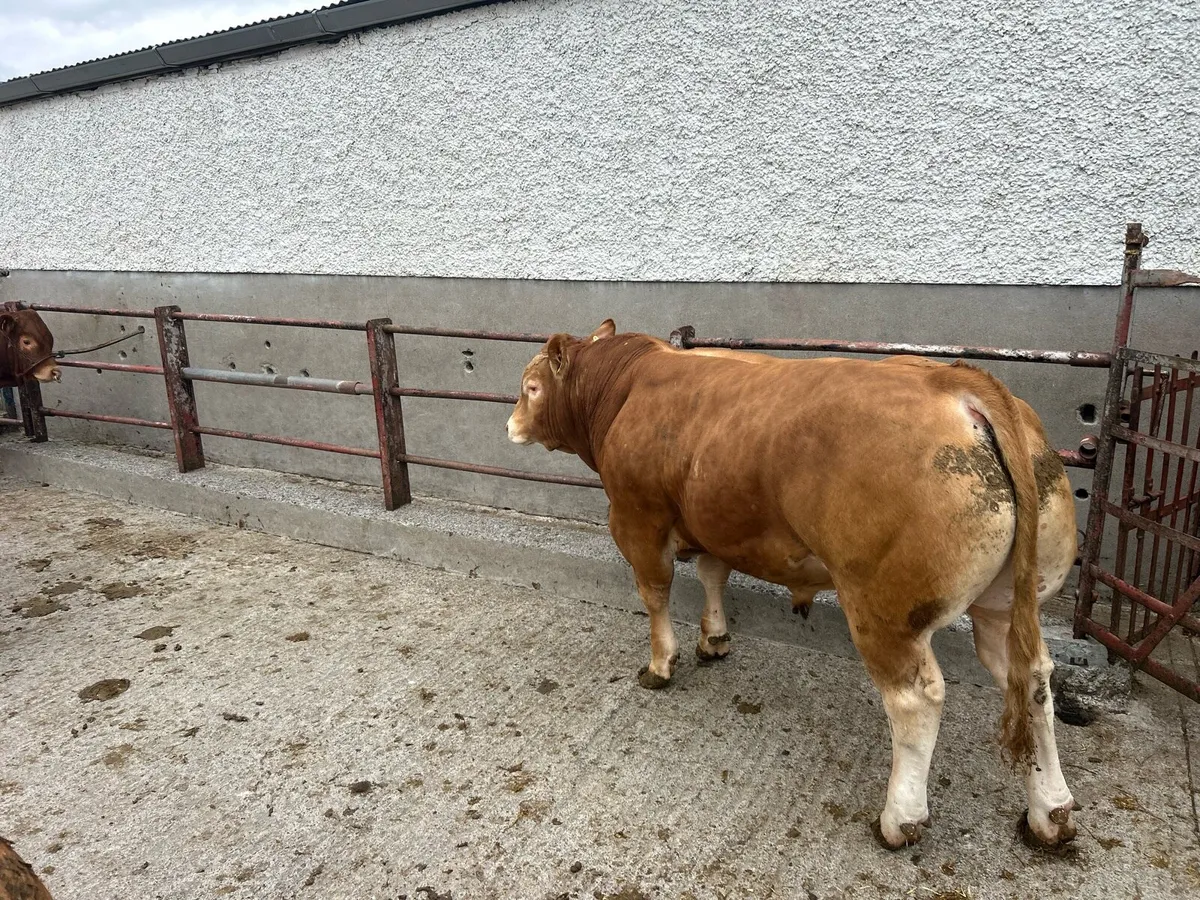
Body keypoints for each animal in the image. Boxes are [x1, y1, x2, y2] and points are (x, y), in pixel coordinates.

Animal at [506, 320, 1079, 852]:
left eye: (531, 386)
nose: (510, 423)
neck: (624, 384)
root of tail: (954, 381)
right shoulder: (715, 519)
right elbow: (713, 574)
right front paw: (714, 638)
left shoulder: (635, 517)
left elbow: (655, 593)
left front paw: (660, 665)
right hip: (1006, 603)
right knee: (1032, 680)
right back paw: (1050, 814)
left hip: (883, 609)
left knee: (915, 702)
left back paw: (900, 819)